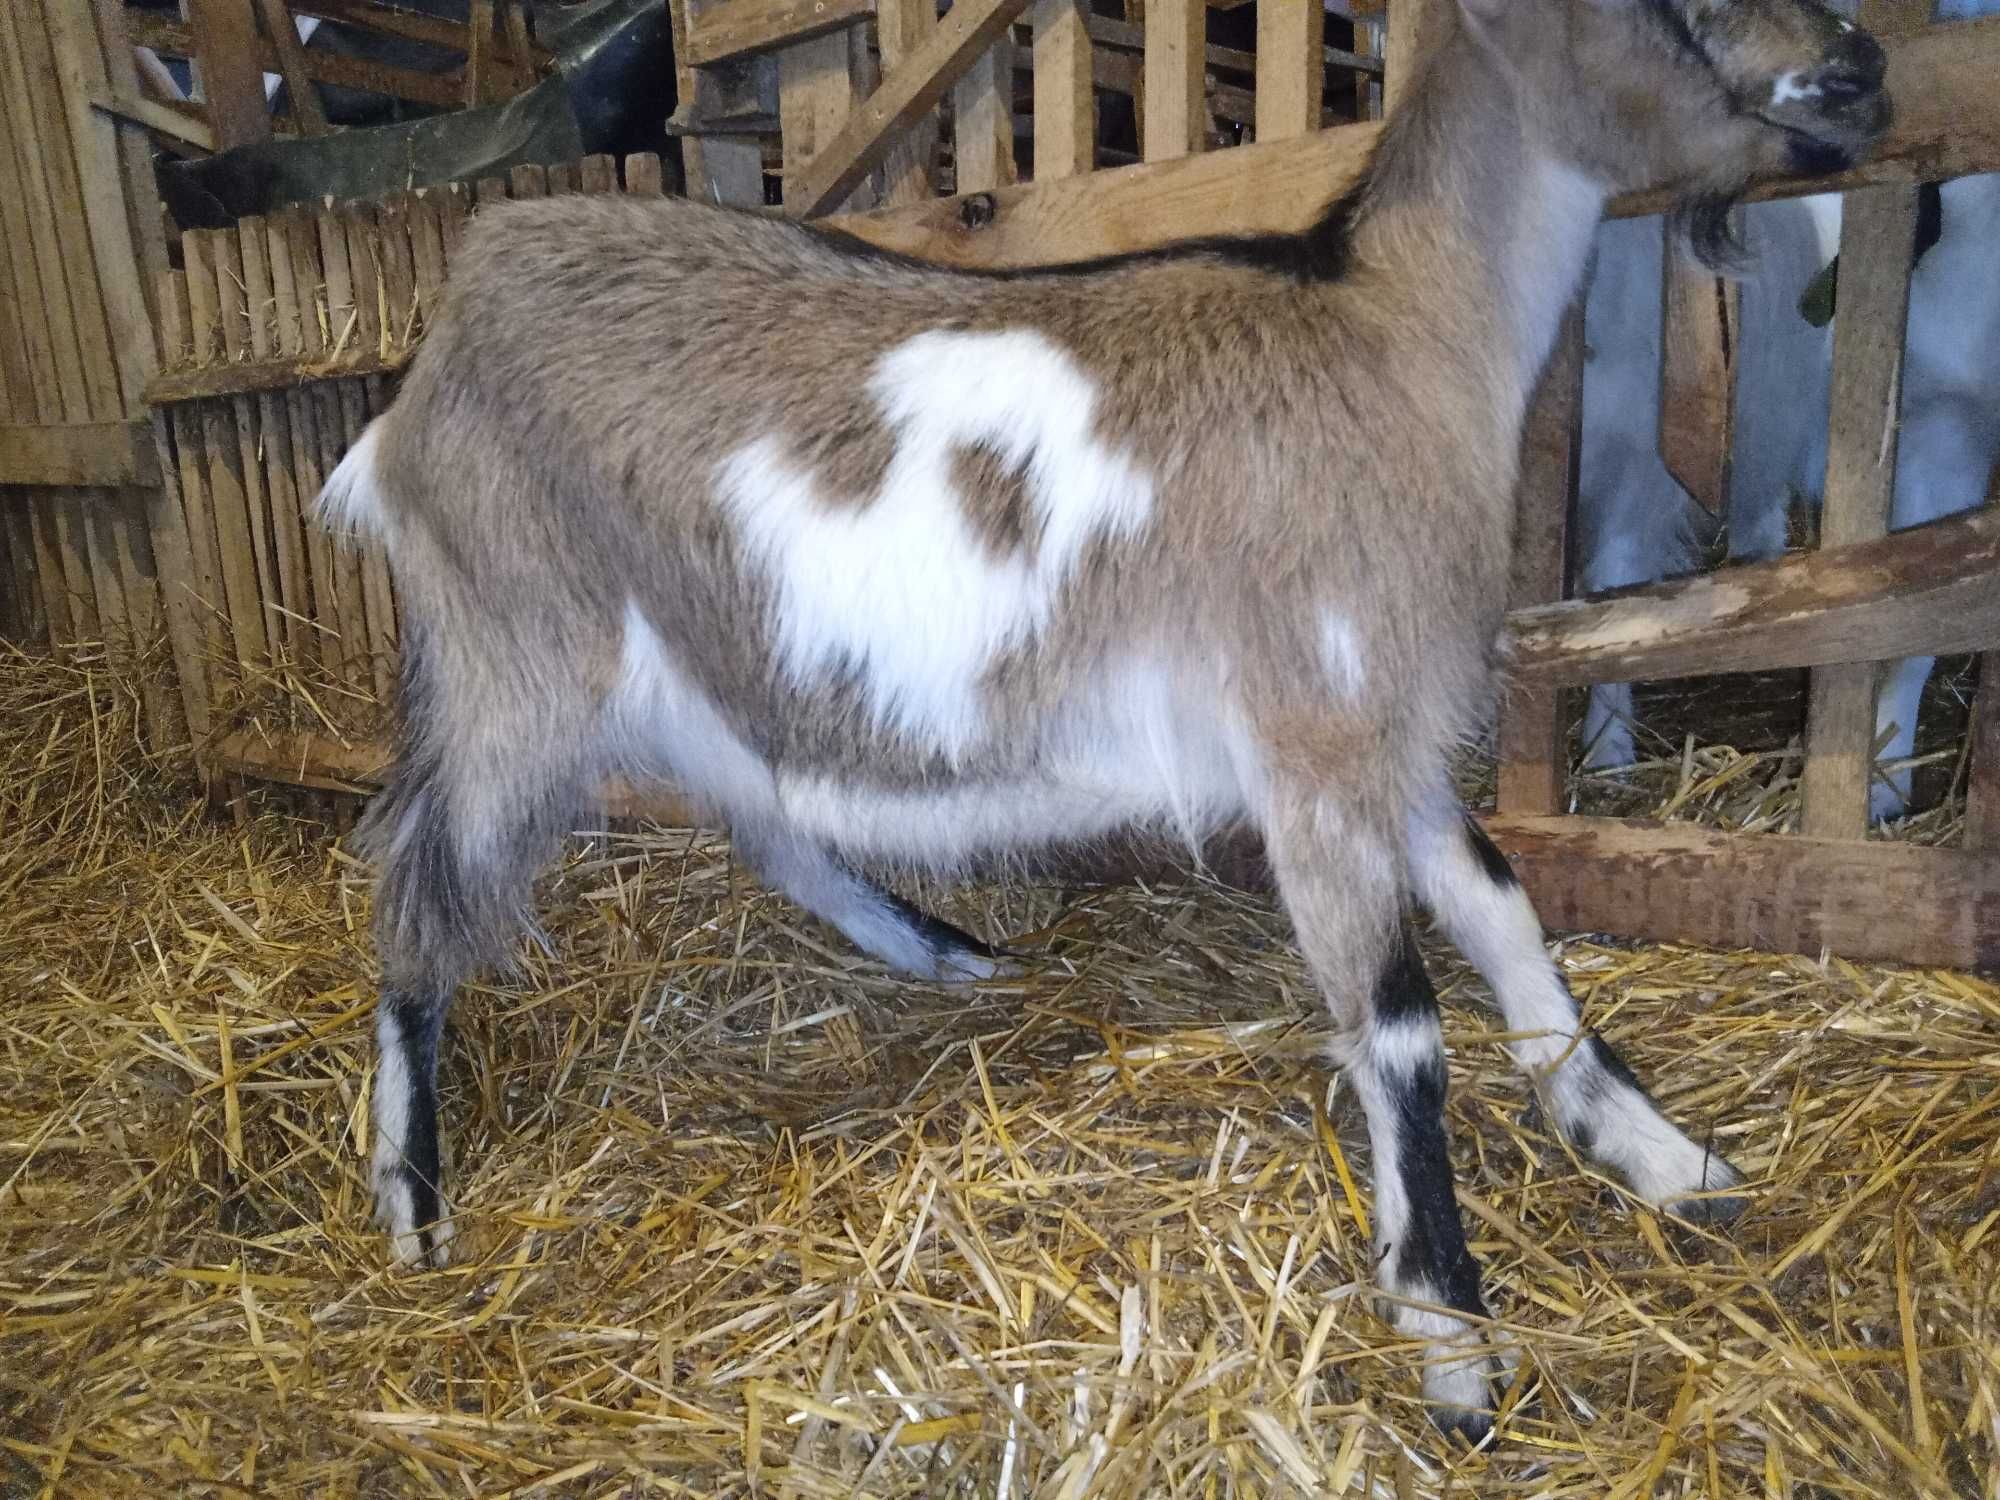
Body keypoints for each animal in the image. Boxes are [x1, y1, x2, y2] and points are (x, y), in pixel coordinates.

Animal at [324, 0, 1888, 1448]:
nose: (1864, 66)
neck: (1391, 332)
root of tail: (430, 366)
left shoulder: (1373, 735)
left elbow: (1504, 909)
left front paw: (1655, 1153)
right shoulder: (1312, 727)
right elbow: (1397, 1022)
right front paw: (1452, 1342)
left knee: (764, 827)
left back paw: (945, 952)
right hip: (519, 649)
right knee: (416, 887)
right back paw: (412, 1199)